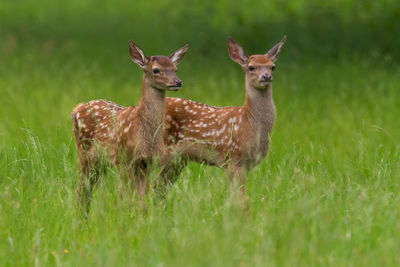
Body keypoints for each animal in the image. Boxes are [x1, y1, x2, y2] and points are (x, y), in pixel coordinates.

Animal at [72, 39, 189, 213]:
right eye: (156, 70)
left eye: (175, 69)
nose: (178, 82)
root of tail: (76, 109)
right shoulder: (124, 159)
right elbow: (124, 197)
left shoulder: (147, 163)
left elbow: (142, 200)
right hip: (84, 151)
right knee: (82, 188)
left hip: (100, 160)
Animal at [161, 36, 286, 207]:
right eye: (251, 67)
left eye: (273, 67)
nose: (266, 77)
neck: (249, 121)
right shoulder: (233, 158)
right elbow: (241, 199)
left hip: (179, 158)